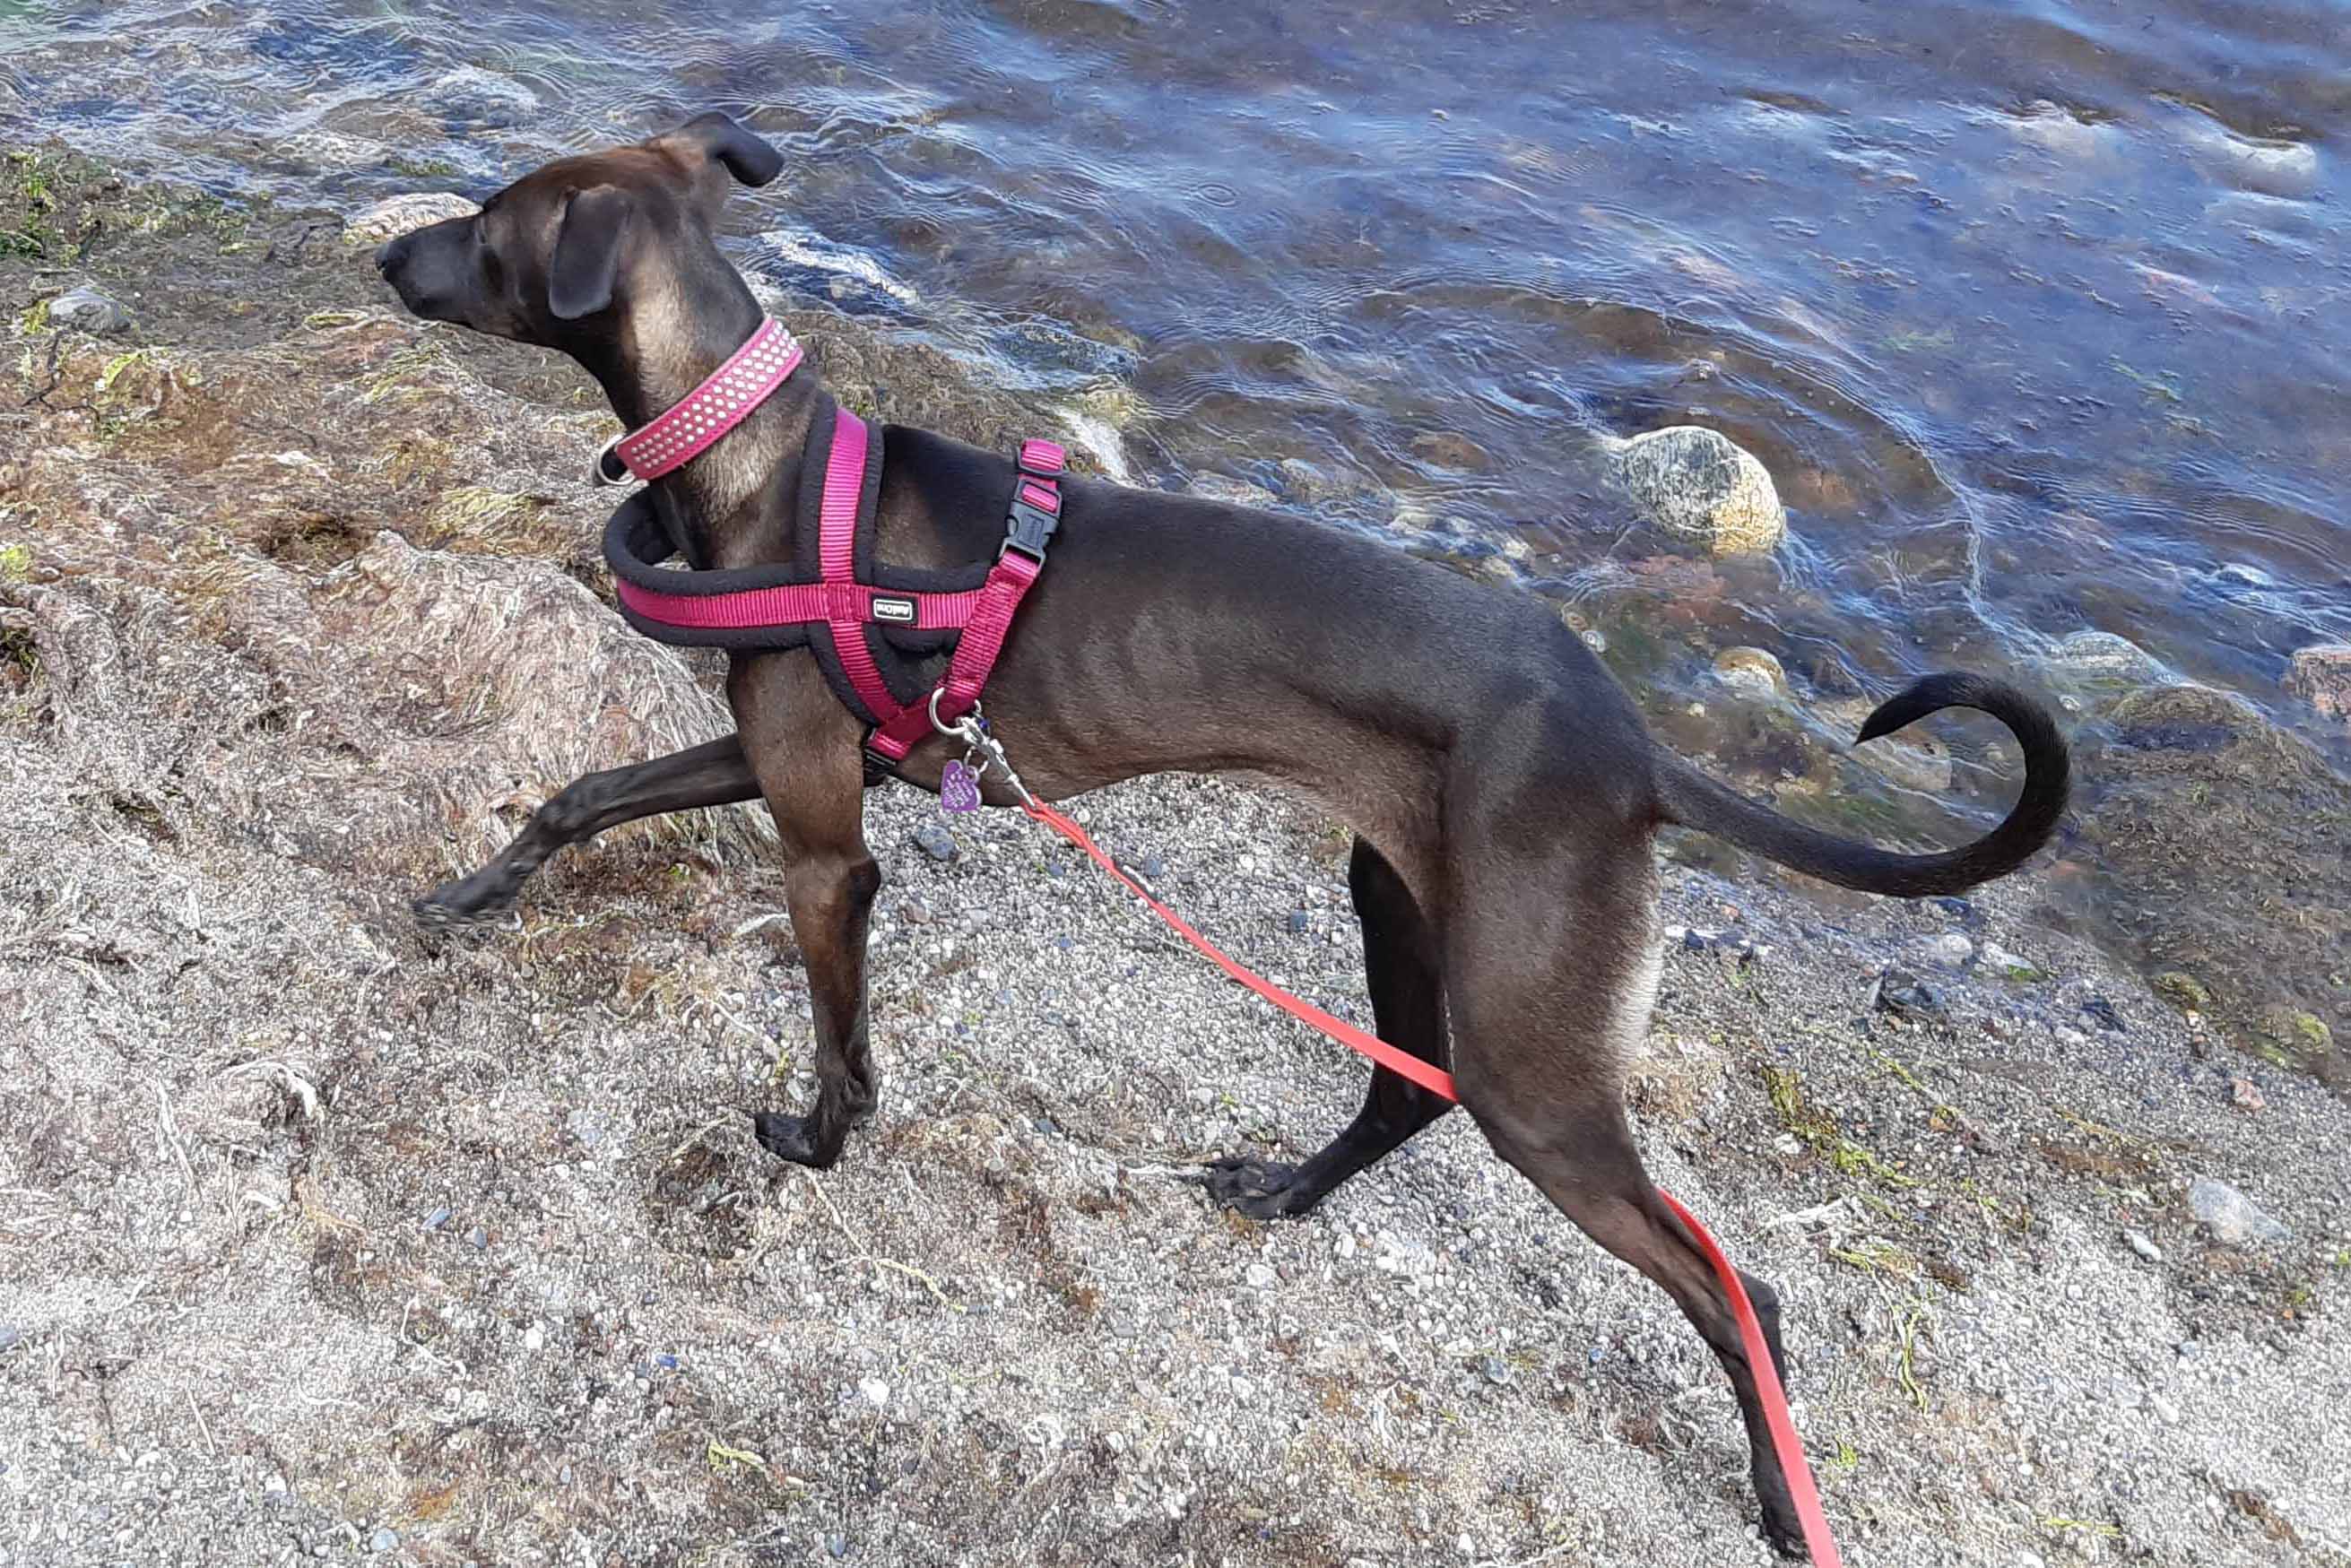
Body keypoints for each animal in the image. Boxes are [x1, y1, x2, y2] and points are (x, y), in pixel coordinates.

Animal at [376, 113, 2069, 1561]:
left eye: (488, 221)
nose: (389, 254)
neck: (785, 478)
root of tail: (1632, 744)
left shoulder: (823, 839)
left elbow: (838, 1033)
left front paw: (819, 1140)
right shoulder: (772, 755)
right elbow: (578, 795)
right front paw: (473, 890)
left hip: (1533, 1057)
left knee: (1734, 1285)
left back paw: (1780, 1494)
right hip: (1404, 908)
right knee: (1401, 1092)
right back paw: (1287, 1193)